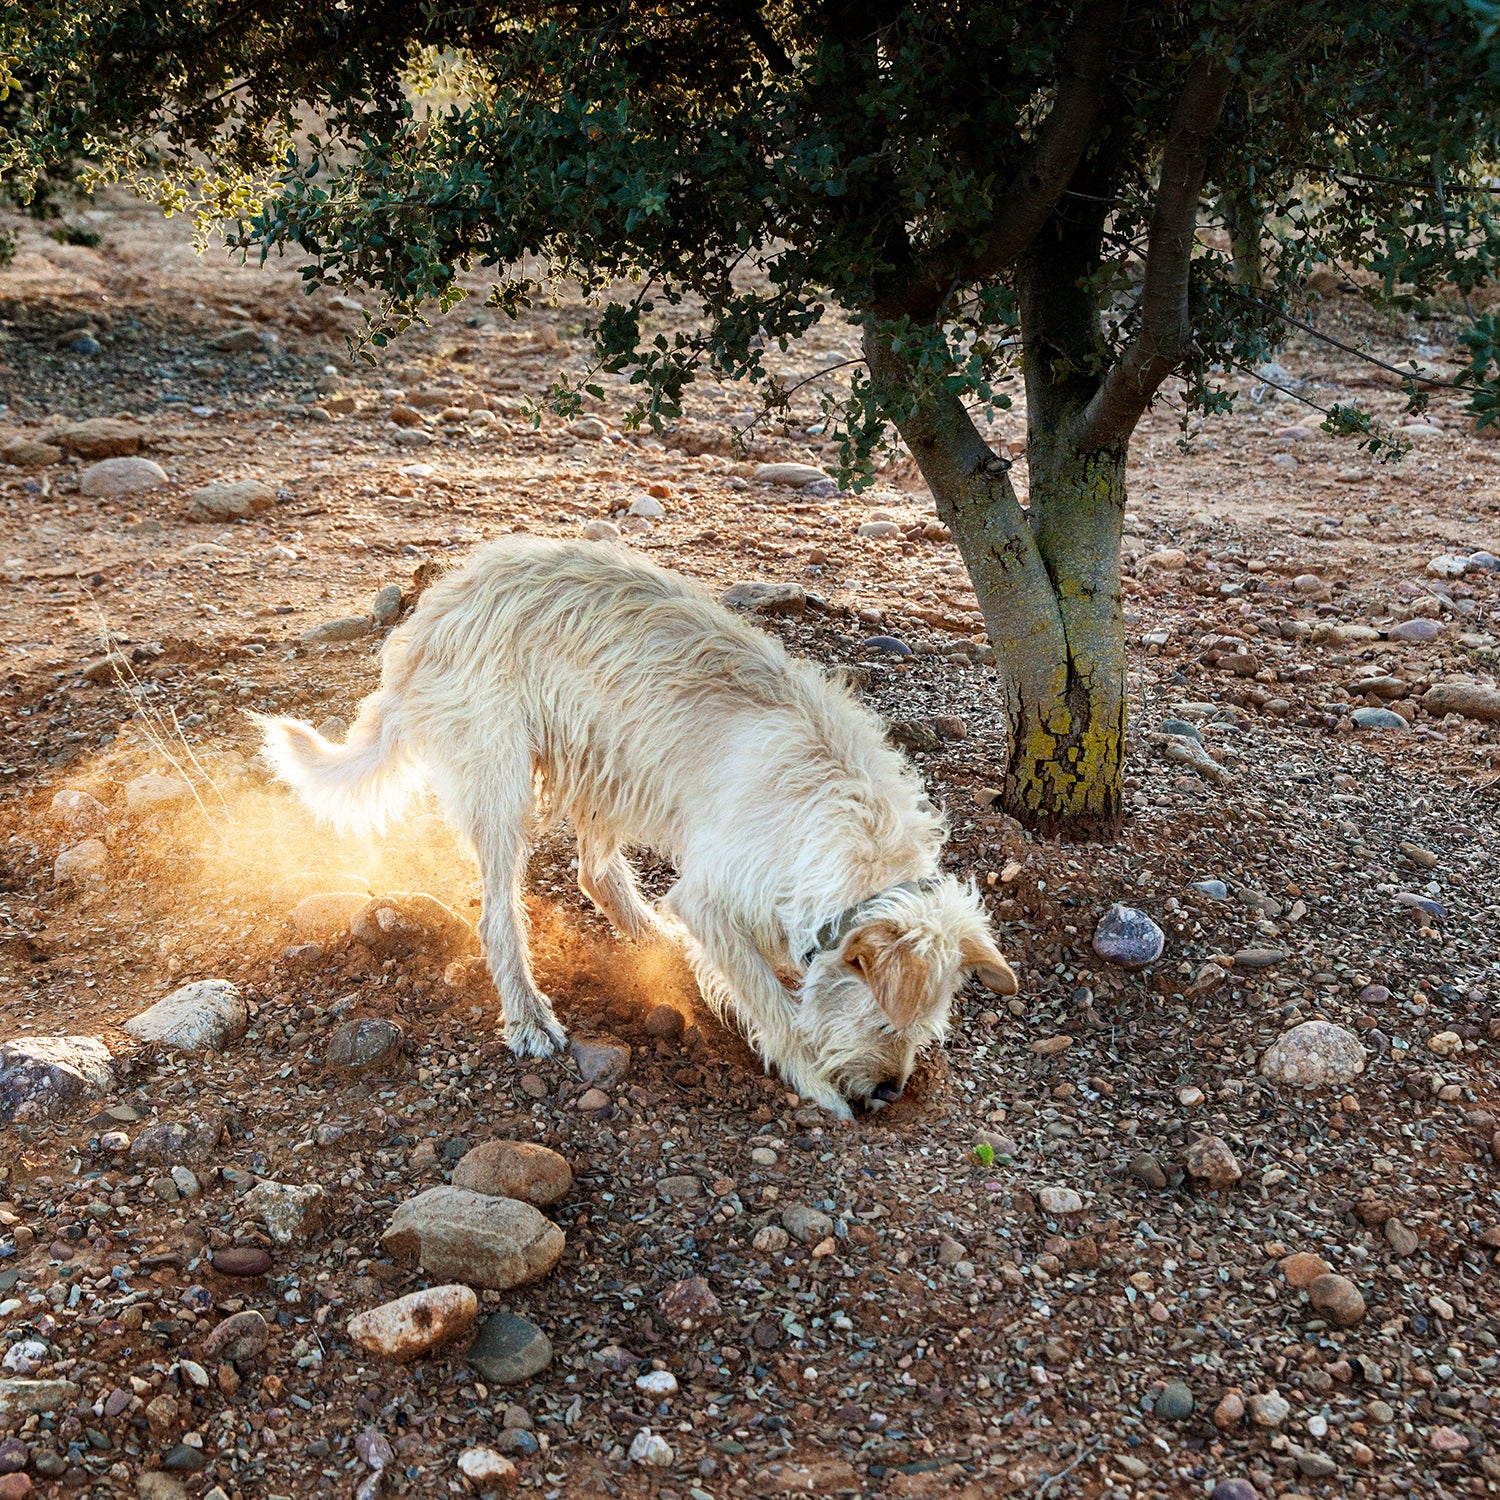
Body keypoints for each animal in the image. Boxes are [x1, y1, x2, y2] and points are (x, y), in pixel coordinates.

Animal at [258, 537, 1014, 1116]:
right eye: (885, 1021)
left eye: (927, 1030)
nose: (891, 1093)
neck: (851, 823)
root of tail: (438, 606)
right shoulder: (711, 898)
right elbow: (769, 1000)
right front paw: (816, 1082)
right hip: (504, 785)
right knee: (498, 914)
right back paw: (529, 1014)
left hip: (607, 761)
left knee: (594, 872)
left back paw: (656, 941)